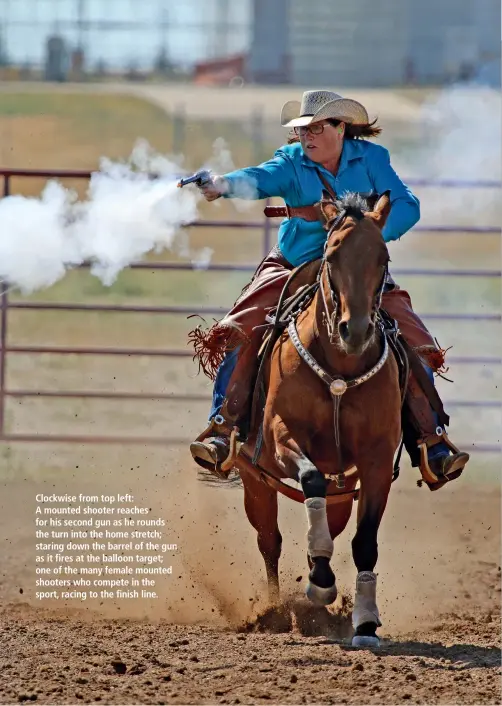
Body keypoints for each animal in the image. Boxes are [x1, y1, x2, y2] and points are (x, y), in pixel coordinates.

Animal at [233, 190, 402, 648]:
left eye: (382, 256)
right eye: (332, 254)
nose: (355, 331)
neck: (340, 369)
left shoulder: (377, 460)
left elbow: (365, 542)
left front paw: (365, 623)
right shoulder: (279, 436)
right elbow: (308, 482)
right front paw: (322, 583)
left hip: (342, 486)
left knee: (331, 523)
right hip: (256, 480)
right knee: (268, 540)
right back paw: (277, 609)